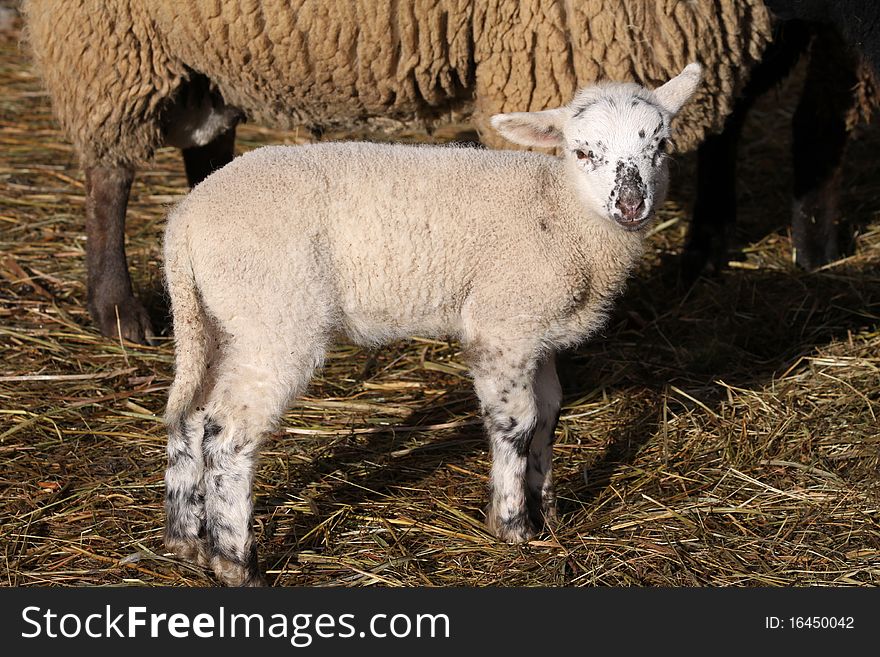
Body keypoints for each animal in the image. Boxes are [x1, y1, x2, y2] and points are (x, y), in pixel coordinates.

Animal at [20, 1, 772, 344]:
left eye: (660, 146)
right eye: (585, 151)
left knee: (208, 145)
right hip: (112, 35)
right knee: (110, 173)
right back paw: (118, 310)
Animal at [162, 62, 704, 584]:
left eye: (660, 145)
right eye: (584, 152)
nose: (631, 205)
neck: (565, 213)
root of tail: (184, 222)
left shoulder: (539, 331)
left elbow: (550, 413)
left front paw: (547, 511)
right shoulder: (502, 323)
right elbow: (518, 421)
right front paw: (513, 526)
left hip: (217, 320)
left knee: (191, 418)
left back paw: (186, 540)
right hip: (274, 318)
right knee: (228, 436)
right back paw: (237, 564)